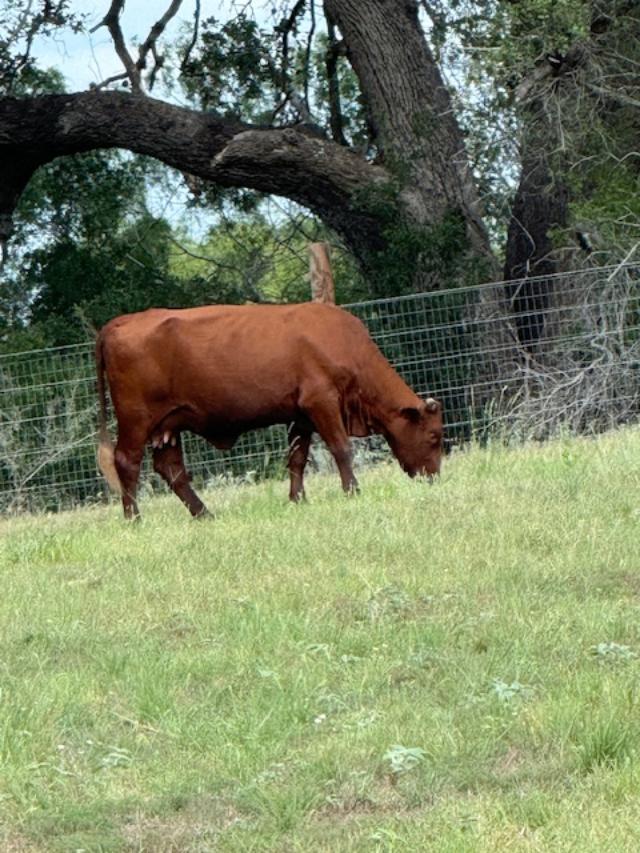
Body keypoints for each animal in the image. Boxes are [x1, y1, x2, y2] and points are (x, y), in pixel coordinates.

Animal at [95, 302, 443, 519]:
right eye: (434, 436)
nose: (434, 478)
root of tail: (120, 322)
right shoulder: (322, 402)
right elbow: (341, 449)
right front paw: (352, 490)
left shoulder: (301, 415)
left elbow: (297, 459)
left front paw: (298, 499)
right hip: (136, 419)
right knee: (126, 462)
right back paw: (134, 518)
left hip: (167, 426)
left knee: (172, 470)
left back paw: (204, 513)